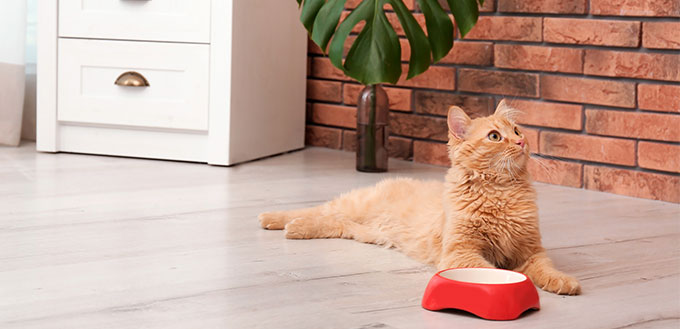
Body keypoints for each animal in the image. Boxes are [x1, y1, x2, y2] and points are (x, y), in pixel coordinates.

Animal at [258, 100, 580, 294]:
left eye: (516, 130)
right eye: (494, 137)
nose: (522, 142)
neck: (501, 193)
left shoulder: (531, 250)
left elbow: (545, 268)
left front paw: (561, 281)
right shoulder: (461, 251)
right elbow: (488, 271)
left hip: (358, 229)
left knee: (331, 221)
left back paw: (295, 228)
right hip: (354, 205)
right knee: (317, 209)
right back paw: (274, 219)